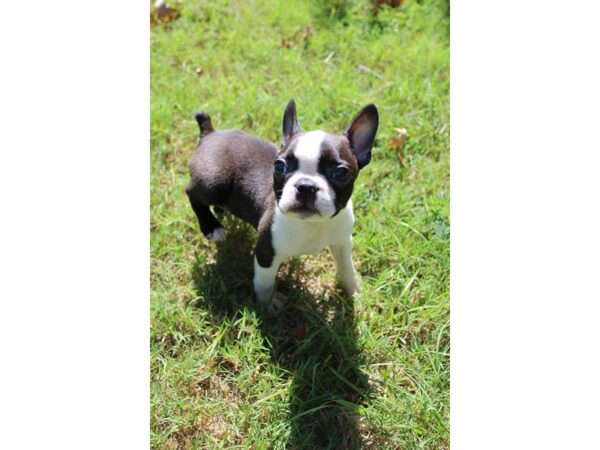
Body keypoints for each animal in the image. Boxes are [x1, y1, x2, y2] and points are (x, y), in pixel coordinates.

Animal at [185, 100, 378, 312]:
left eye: (341, 173)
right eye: (279, 166)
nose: (306, 186)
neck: (312, 224)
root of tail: (210, 134)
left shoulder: (342, 241)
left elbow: (346, 267)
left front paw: (354, 290)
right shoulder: (266, 251)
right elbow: (265, 280)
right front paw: (268, 302)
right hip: (215, 182)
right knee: (192, 193)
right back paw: (212, 226)